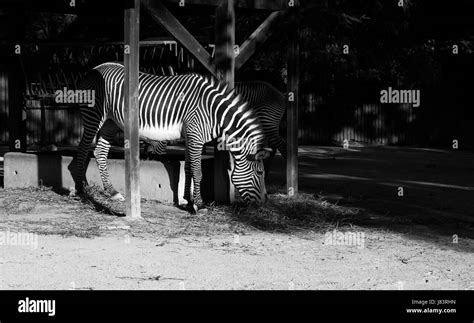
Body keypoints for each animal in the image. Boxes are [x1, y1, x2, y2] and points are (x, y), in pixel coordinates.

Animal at [74, 62, 268, 211]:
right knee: (82, 150)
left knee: (100, 152)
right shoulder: (196, 136)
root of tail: (94, 69)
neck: (214, 112)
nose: (264, 204)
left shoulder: (190, 136)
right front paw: (199, 204)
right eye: (260, 172)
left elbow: (188, 168)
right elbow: (198, 171)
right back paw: (79, 189)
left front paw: (188, 199)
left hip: (110, 123)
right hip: (94, 117)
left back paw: (112, 192)